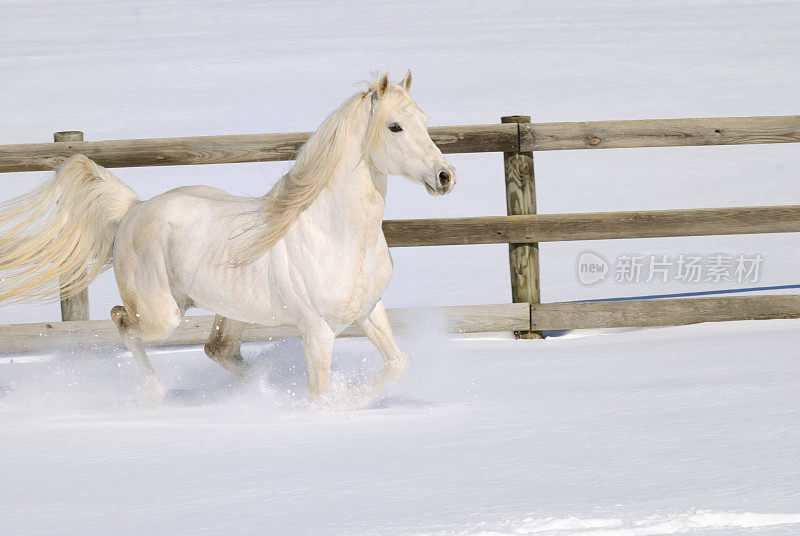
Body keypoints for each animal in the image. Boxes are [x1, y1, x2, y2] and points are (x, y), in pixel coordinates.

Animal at [0, 73, 454, 404]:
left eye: (425, 121)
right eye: (395, 127)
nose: (445, 176)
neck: (335, 236)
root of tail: (133, 209)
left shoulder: (370, 312)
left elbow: (397, 366)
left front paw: (353, 395)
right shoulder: (317, 330)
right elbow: (321, 397)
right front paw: (336, 400)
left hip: (230, 308)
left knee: (218, 350)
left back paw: (260, 387)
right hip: (162, 315)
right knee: (122, 321)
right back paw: (156, 393)